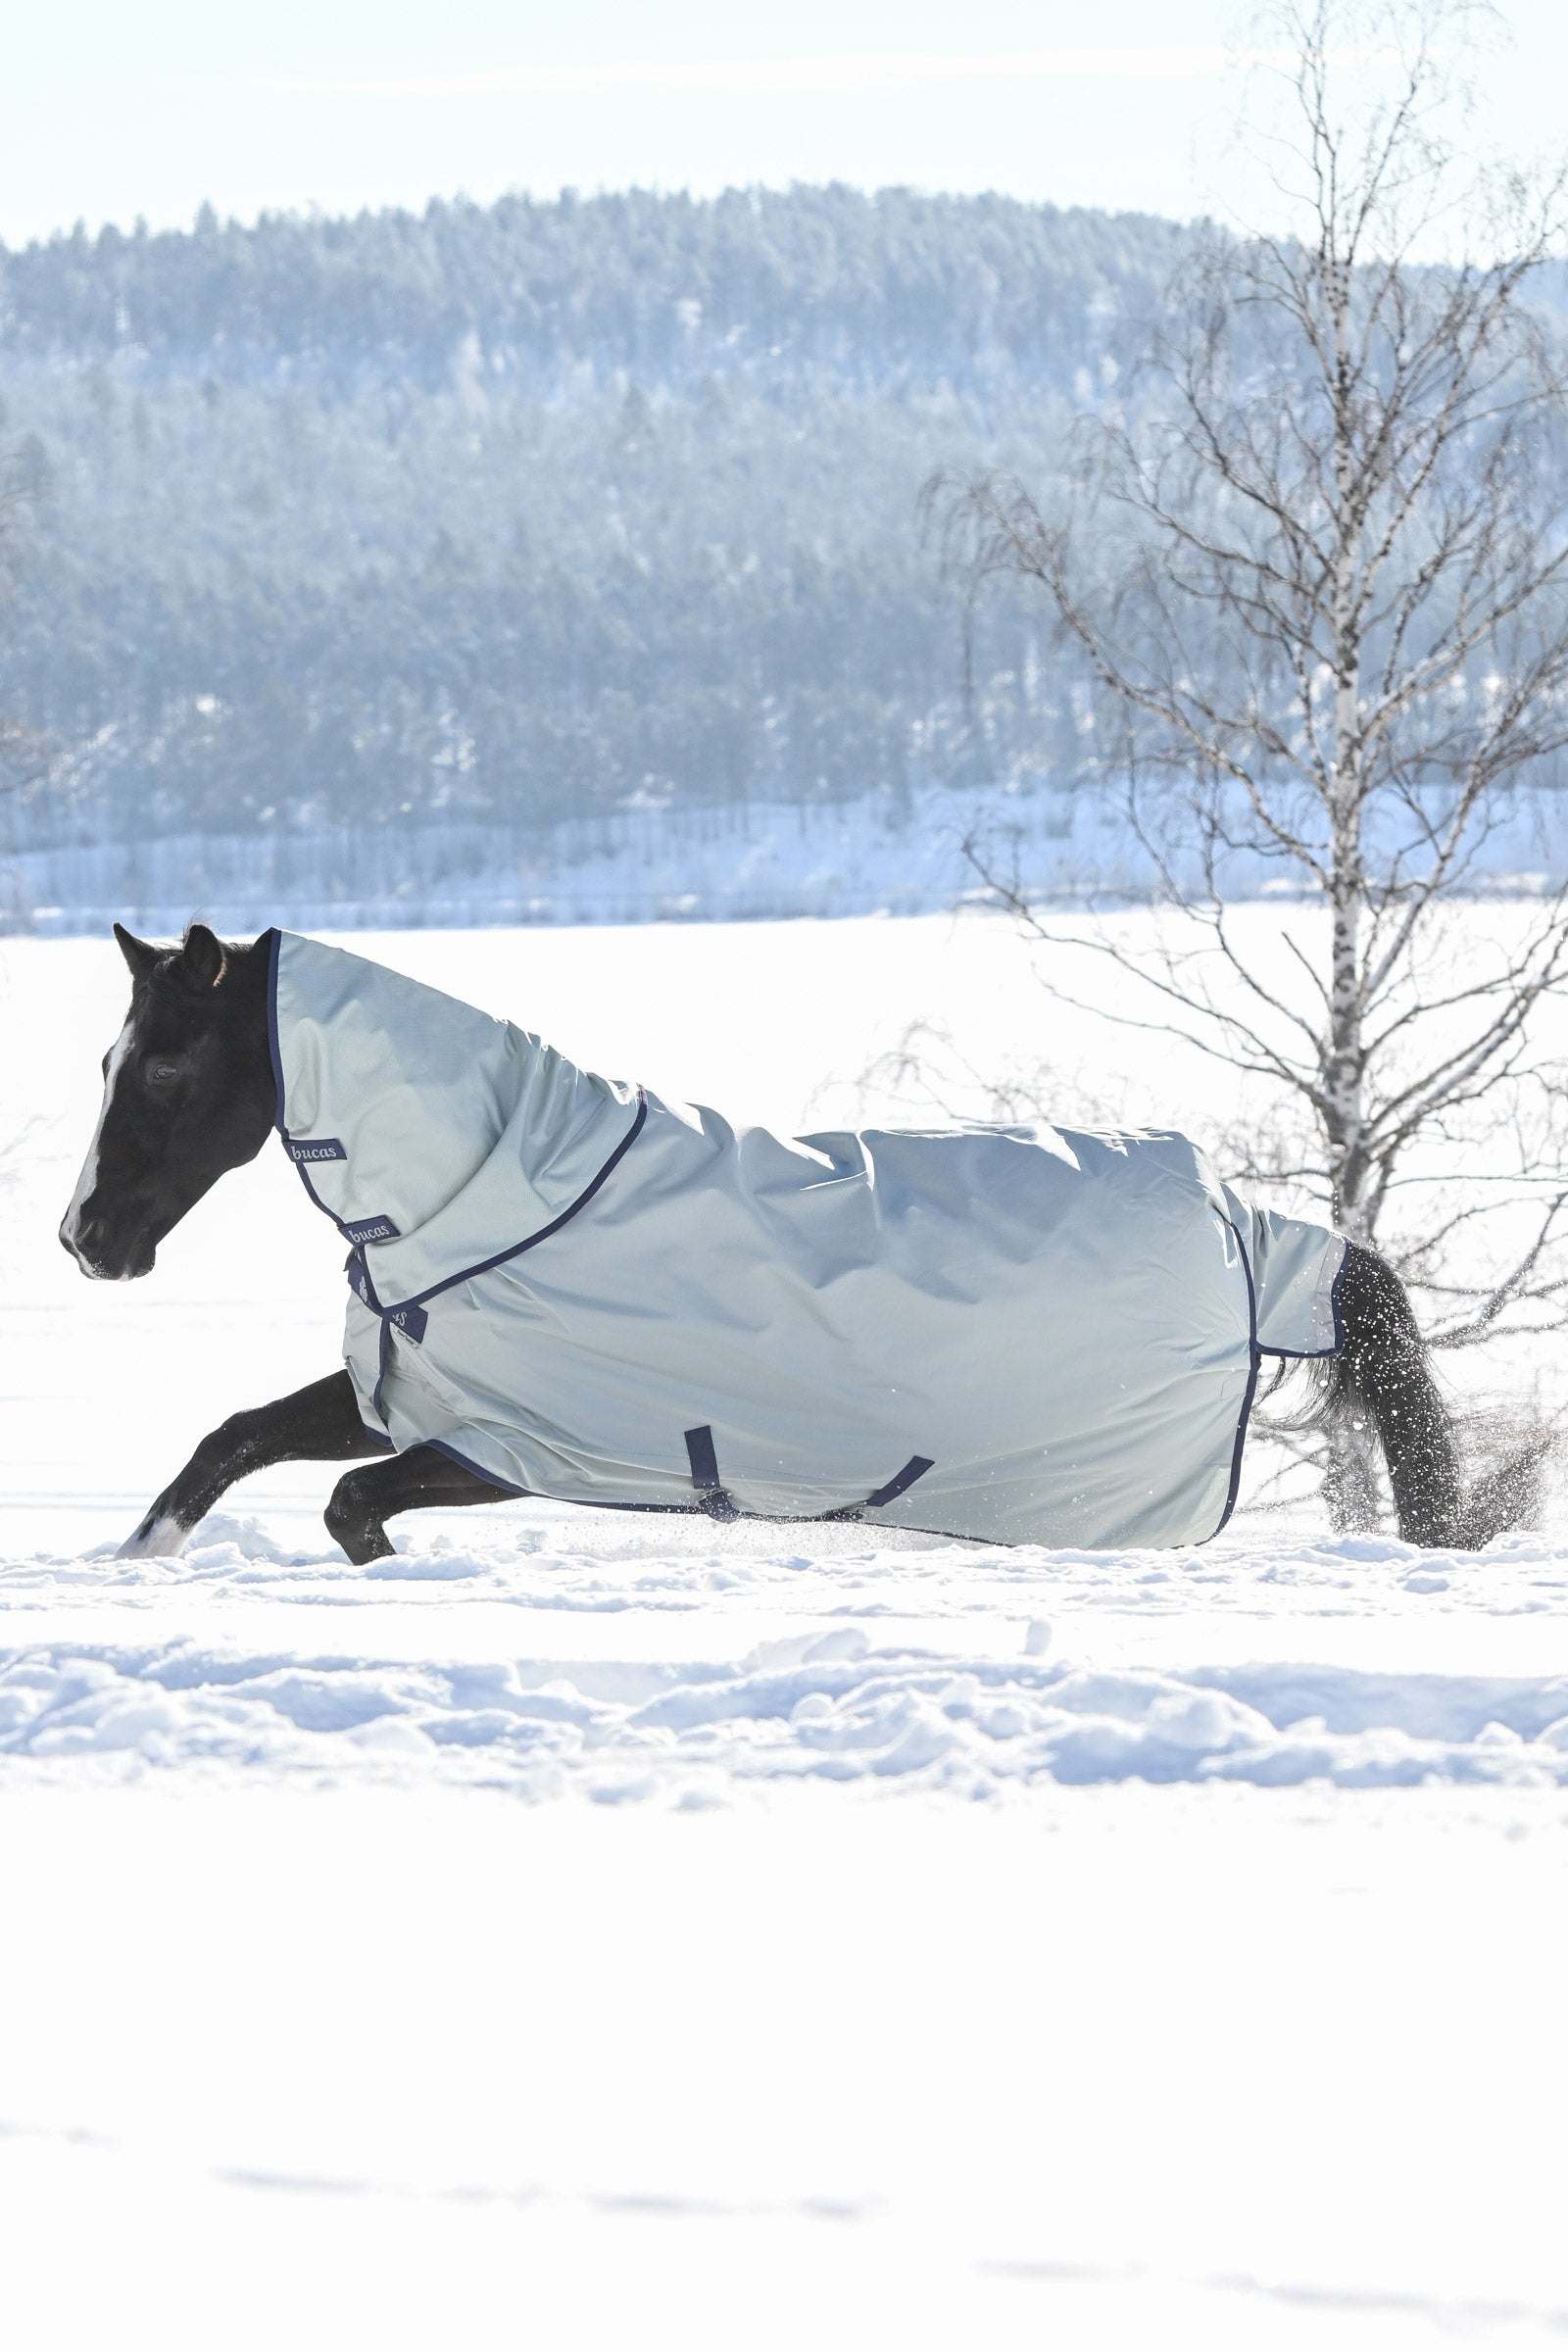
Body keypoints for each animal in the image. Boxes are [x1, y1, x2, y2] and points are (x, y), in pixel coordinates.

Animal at [59, 921, 1514, 1563]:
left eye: (171, 1069)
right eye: (109, 1058)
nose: (85, 1240)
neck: (499, 1198)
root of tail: (1250, 1232)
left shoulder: (523, 1444)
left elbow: (349, 1505)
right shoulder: (418, 1394)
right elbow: (234, 1440)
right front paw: (140, 1562)